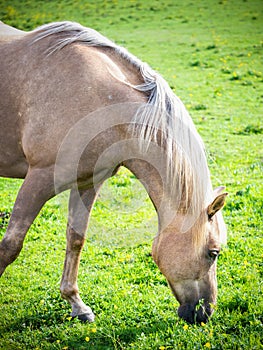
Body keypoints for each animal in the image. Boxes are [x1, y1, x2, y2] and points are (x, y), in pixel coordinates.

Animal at [0, 20, 229, 324]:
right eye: (213, 252)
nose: (206, 314)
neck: (97, 100)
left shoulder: (88, 182)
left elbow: (76, 239)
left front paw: (77, 305)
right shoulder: (39, 179)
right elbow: (11, 245)